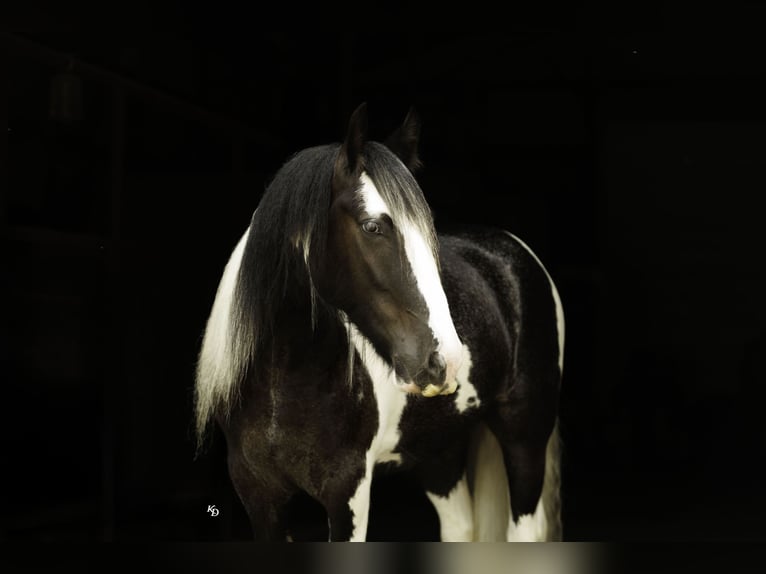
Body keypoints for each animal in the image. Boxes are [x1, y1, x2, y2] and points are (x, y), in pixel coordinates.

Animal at [194, 103, 565, 541]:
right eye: (373, 227)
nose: (446, 361)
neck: (281, 385)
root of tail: (512, 251)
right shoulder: (259, 499)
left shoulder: (348, 492)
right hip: (438, 451)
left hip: (525, 438)